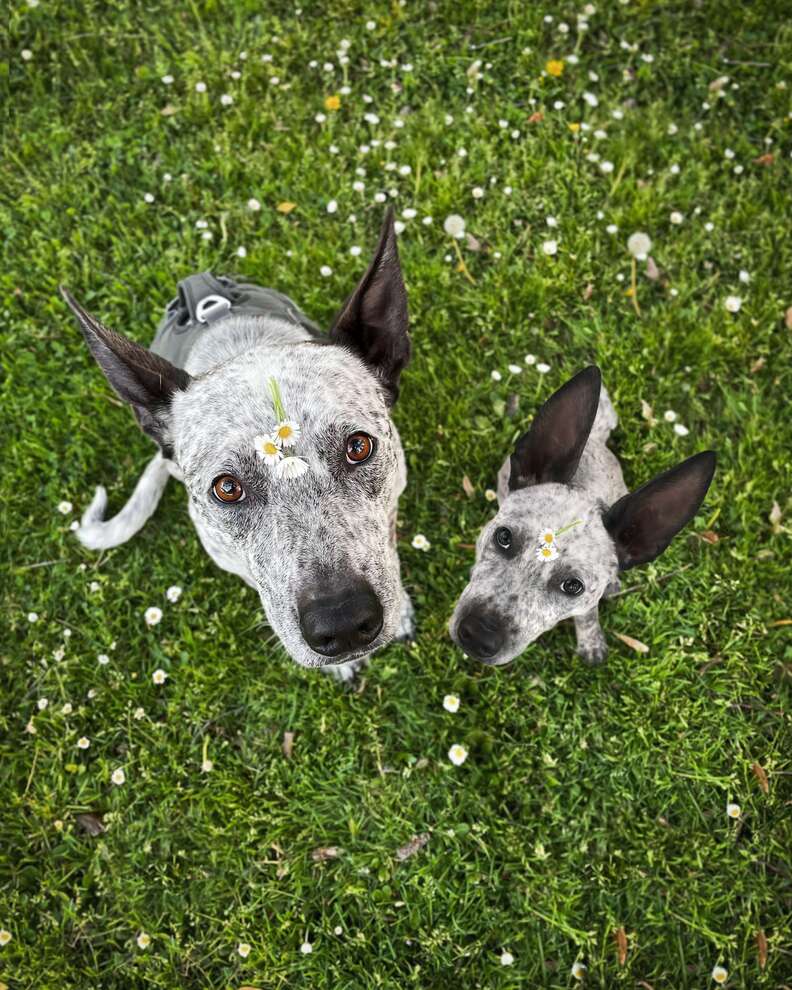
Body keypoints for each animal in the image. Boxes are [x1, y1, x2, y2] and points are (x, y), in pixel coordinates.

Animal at [448, 368, 716, 672]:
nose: (477, 636)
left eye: (572, 586)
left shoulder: (587, 603)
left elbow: (588, 617)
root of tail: (596, 440)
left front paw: (591, 642)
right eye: (504, 537)